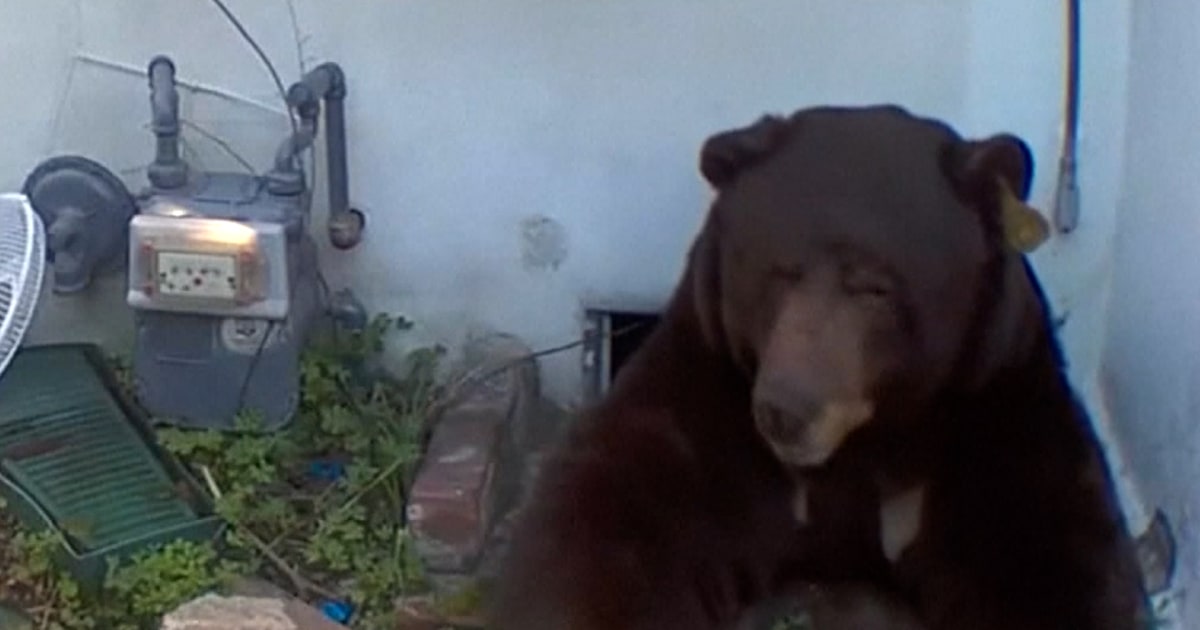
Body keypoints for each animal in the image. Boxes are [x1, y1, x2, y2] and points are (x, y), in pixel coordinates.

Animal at [486, 105, 1149, 630]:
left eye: (876, 288)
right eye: (778, 271)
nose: (788, 410)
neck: (865, 442)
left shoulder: (993, 404)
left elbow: (1055, 563)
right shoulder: (709, 398)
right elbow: (608, 527)